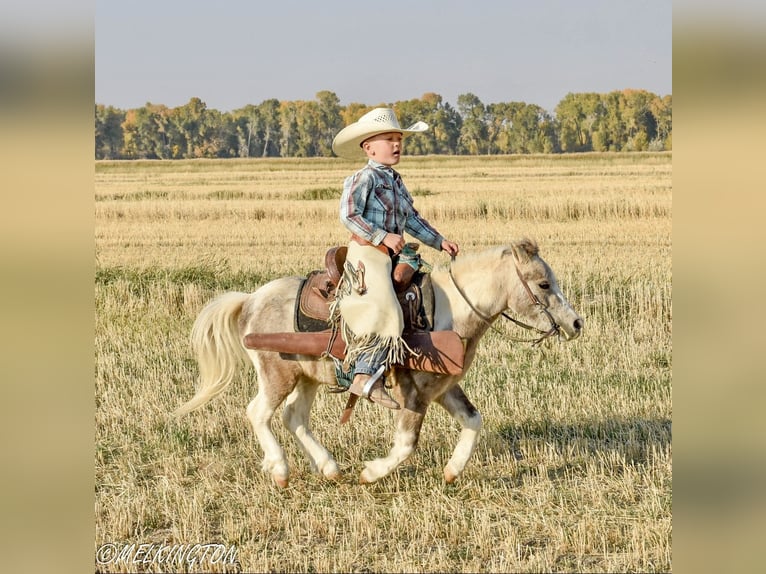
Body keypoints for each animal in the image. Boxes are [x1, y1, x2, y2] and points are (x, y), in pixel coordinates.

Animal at [172, 238, 584, 486]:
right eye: (544, 284)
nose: (576, 323)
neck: (448, 311)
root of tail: (251, 300)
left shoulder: (442, 388)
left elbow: (473, 420)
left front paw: (452, 472)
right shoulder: (413, 393)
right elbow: (405, 444)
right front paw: (371, 473)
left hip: (307, 377)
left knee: (294, 417)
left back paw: (330, 468)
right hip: (278, 374)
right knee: (258, 413)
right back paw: (280, 470)